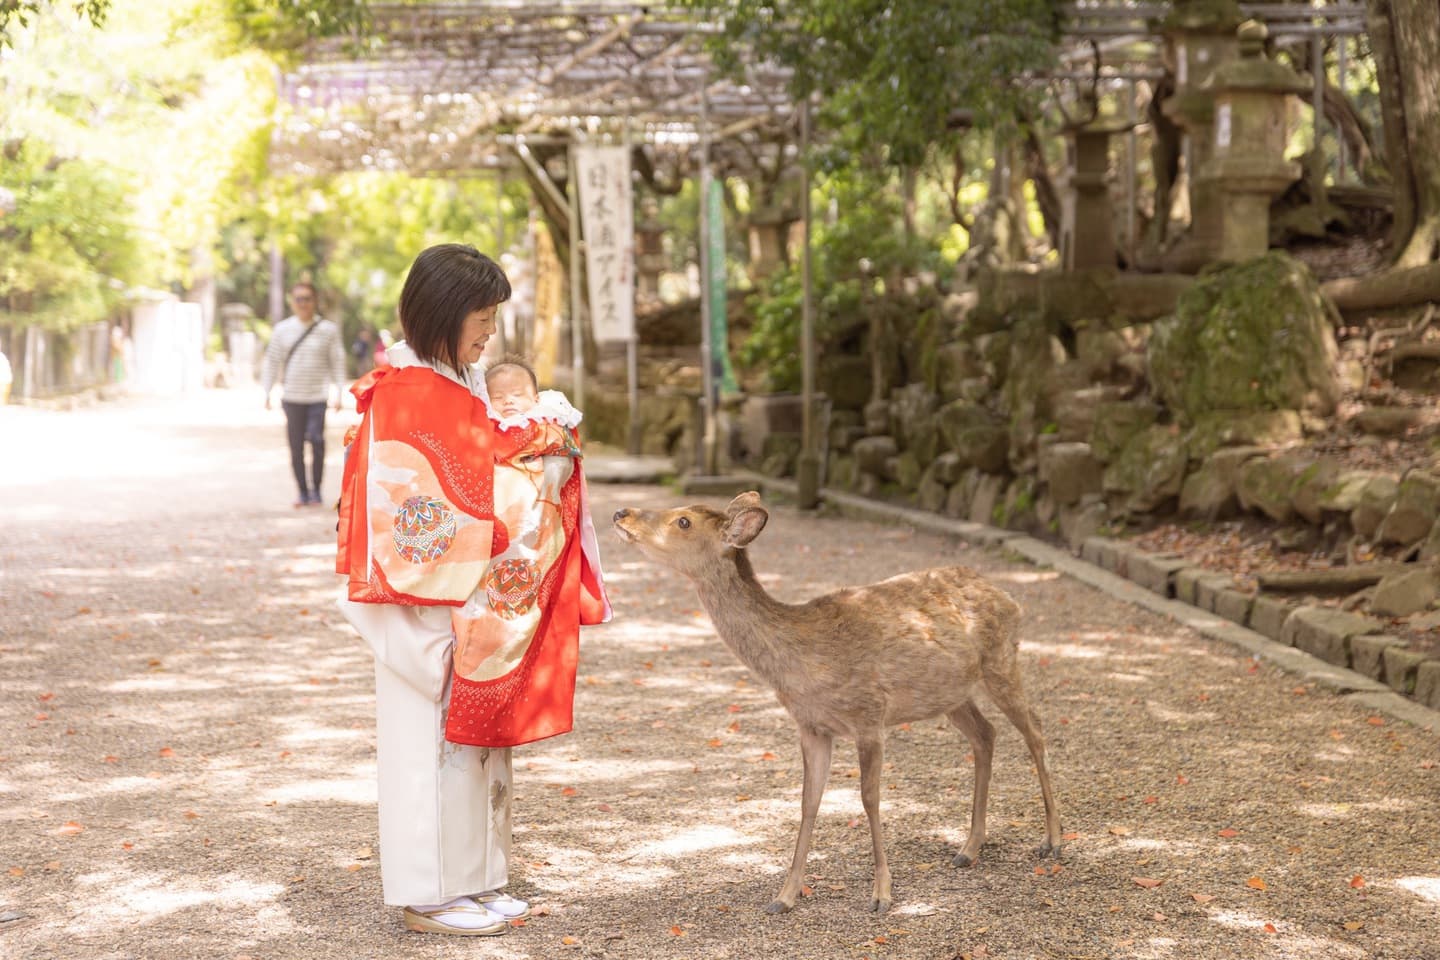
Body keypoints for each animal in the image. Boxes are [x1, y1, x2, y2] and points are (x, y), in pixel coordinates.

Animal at [613, 492, 1065, 921]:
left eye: (683, 521)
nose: (621, 513)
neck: (800, 668)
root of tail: (1009, 598)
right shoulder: (812, 726)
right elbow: (808, 801)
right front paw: (784, 897)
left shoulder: (870, 715)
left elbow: (869, 798)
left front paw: (881, 895)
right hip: (951, 694)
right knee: (986, 733)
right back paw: (969, 848)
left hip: (1001, 660)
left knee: (1036, 729)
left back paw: (1053, 840)